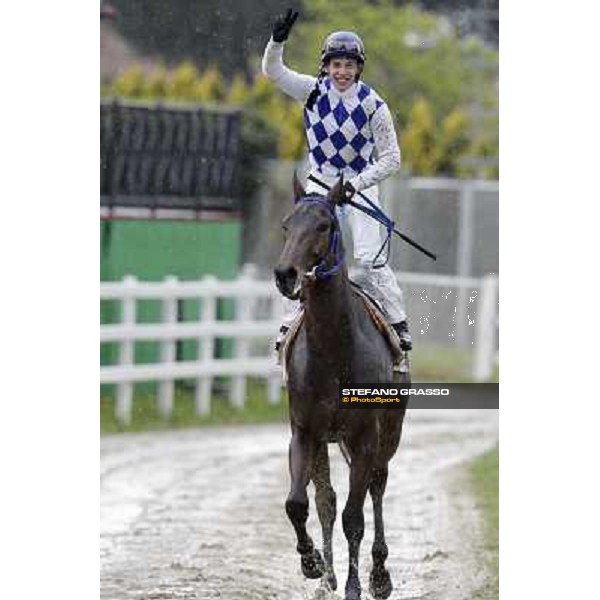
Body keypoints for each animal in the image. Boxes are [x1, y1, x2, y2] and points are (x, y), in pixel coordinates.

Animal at [276, 178, 408, 600]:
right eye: (286, 226)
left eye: (323, 225)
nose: (285, 274)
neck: (334, 350)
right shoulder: (305, 431)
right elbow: (299, 504)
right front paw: (312, 563)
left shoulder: (365, 434)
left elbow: (355, 516)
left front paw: (356, 585)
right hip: (325, 440)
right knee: (325, 501)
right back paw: (328, 576)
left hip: (390, 430)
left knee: (377, 487)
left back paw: (379, 574)